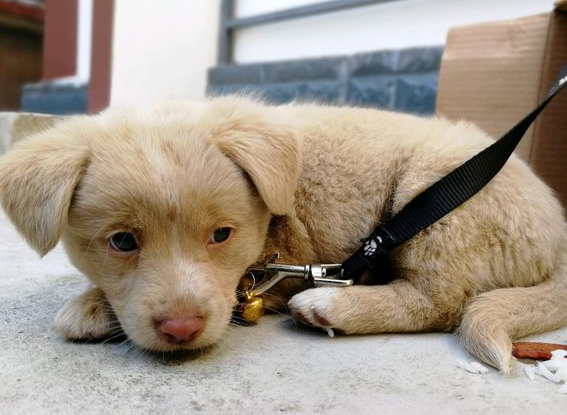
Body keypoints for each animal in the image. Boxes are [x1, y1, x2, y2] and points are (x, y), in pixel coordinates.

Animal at [0, 98, 564, 374]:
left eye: (221, 234)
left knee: (443, 301)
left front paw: (90, 307)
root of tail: (559, 232)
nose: (182, 329)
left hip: (434, 195)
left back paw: (332, 306)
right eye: (121, 242)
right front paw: (96, 302)